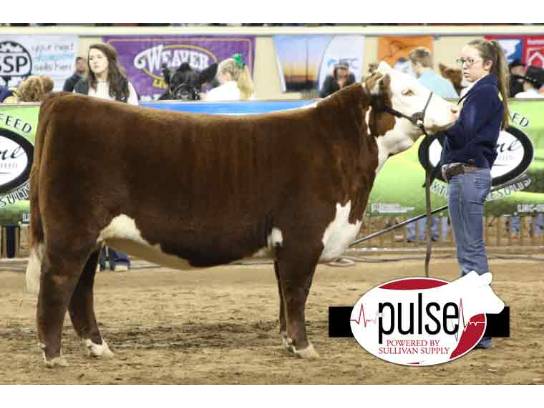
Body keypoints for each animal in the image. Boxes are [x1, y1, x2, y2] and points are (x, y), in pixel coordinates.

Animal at [25, 61, 458, 367]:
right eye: (407, 90)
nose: (455, 109)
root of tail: (64, 101)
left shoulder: (285, 243)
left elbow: (284, 294)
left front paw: (288, 343)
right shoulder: (303, 237)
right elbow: (297, 292)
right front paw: (304, 348)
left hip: (90, 237)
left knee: (81, 289)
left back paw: (98, 348)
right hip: (72, 232)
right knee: (58, 284)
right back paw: (53, 355)